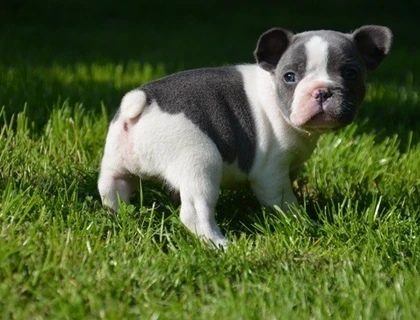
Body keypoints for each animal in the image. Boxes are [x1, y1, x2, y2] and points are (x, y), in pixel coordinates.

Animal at [97, 25, 392, 246]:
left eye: (351, 74)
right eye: (290, 77)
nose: (322, 91)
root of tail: (140, 102)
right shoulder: (271, 173)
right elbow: (284, 201)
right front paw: (304, 222)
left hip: (116, 163)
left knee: (112, 188)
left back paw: (122, 216)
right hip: (200, 162)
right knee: (195, 213)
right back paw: (219, 244)